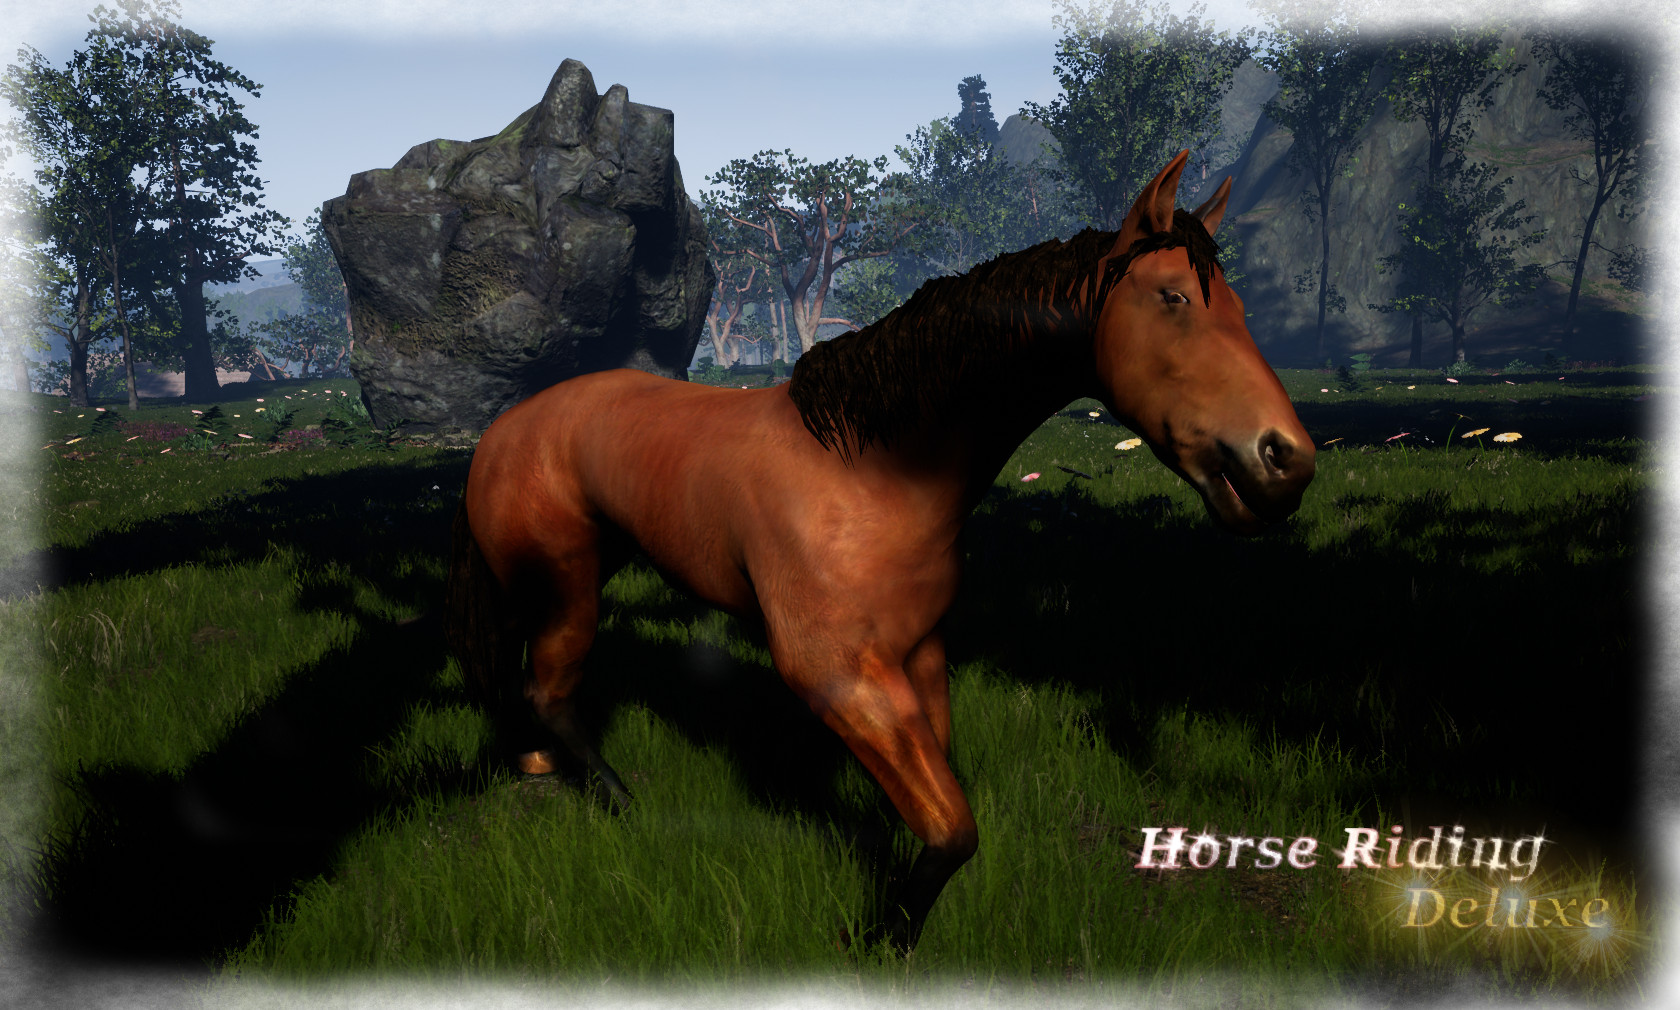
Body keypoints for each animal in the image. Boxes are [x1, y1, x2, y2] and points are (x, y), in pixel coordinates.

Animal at [445, 150, 1316, 951]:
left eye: (1237, 305)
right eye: (1173, 298)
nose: (1285, 460)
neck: (868, 471)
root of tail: (504, 430)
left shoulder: (920, 654)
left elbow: (937, 802)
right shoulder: (837, 677)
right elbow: (954, 827)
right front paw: (881, 938)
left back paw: (536, 765)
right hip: (567, 585)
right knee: (549, 691)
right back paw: (620, 802)